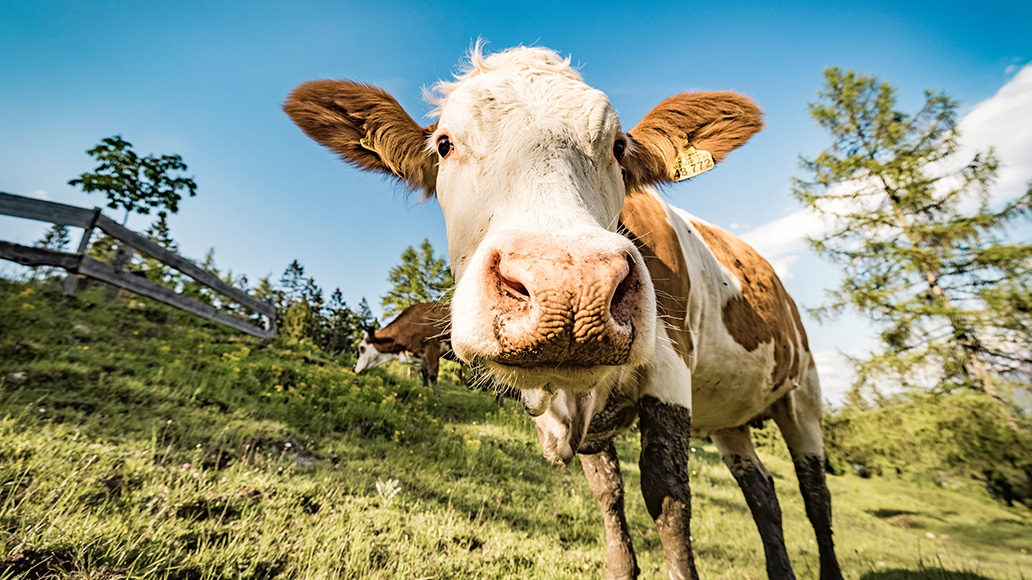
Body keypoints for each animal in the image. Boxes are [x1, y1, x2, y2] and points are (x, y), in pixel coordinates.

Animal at [286, 45, 842, 577]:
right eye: (445, 144)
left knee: (816, 499)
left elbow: (667, 500)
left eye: (619, 147)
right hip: (731, 421)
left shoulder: (671, 373)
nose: (569, 288)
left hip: (804, 395)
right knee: (763, 492)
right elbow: (609, 495)